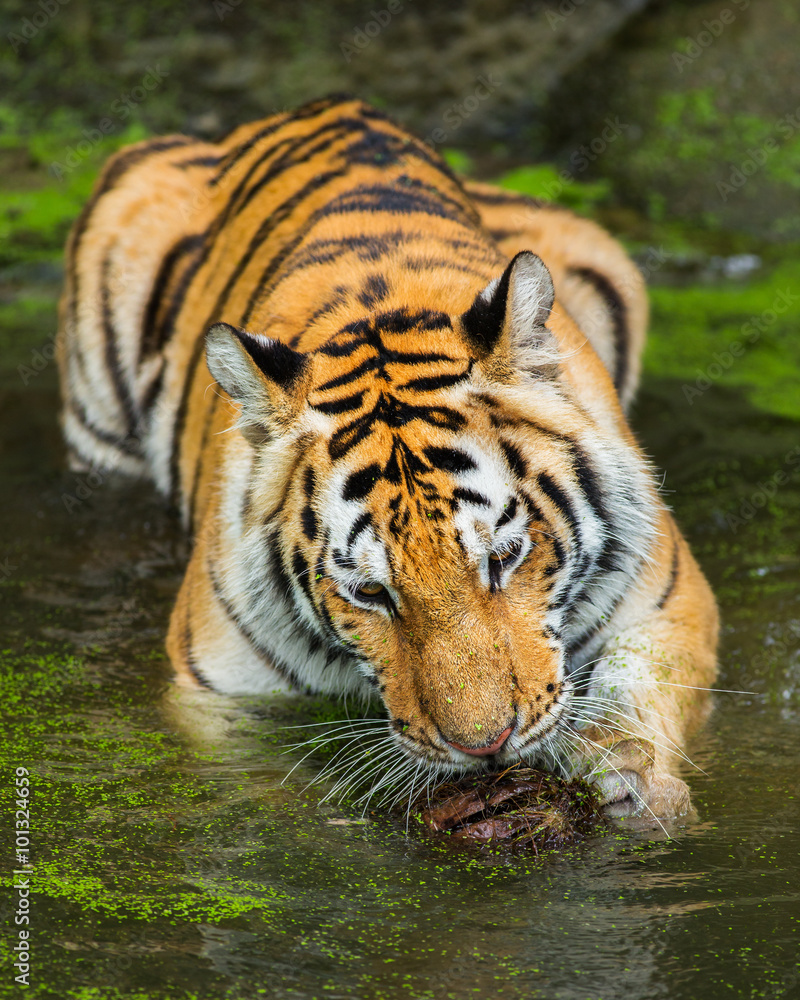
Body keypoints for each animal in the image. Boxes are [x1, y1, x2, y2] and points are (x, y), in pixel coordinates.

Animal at [57, 95, 718, 820]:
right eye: (371, 593)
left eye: (506, 557)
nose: (486, 746)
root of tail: (324, 107)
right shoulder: (215, 685)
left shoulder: (666, 593)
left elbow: (640, 682)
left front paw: (632, 778)